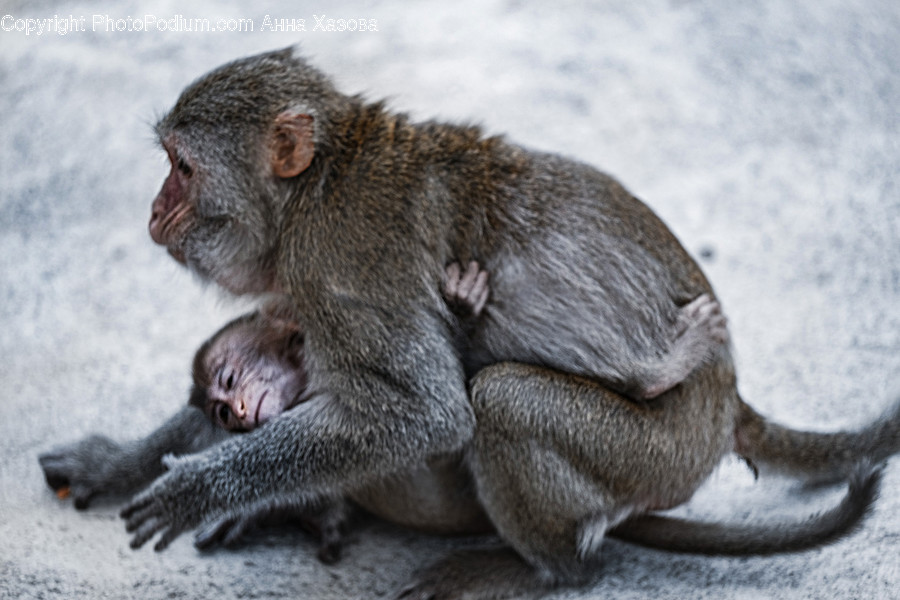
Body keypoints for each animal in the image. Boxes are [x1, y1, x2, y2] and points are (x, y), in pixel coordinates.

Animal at [57, 48, 900, 598]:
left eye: (181, 168)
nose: (154, 210)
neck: (315, 188)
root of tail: (731, 401)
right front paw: (120, 461)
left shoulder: (338, 264)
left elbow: (428, 415)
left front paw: (207, 488)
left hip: (663, 460)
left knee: (503, 403)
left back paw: (549, 569)